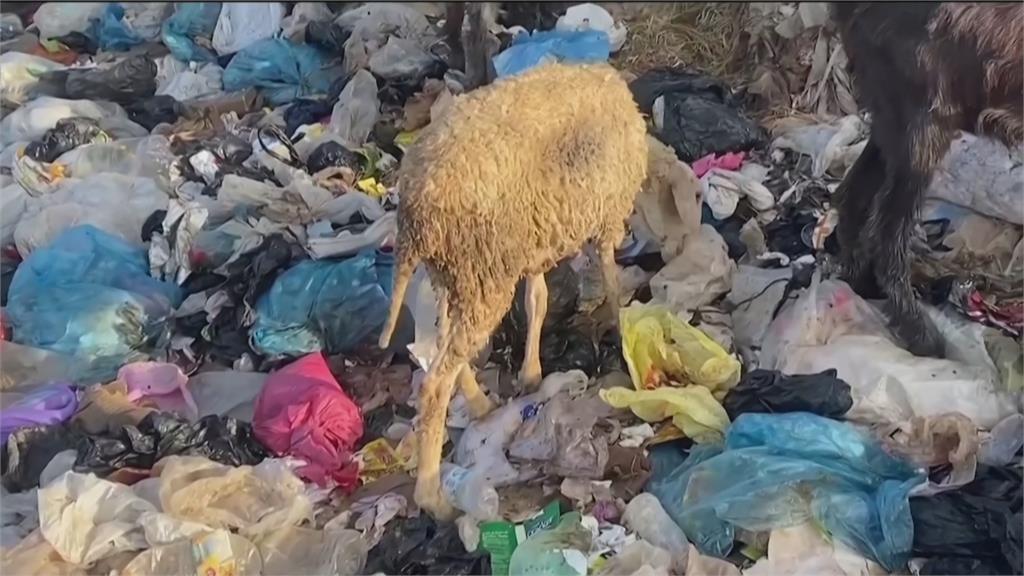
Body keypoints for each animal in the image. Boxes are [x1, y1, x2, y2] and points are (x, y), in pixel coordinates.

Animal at [835, 2, 1019, 356]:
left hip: (893, 118)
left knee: (852, 192)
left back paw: (860, 284)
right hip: (924, 120)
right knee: (887, 233)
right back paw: (922, 336)